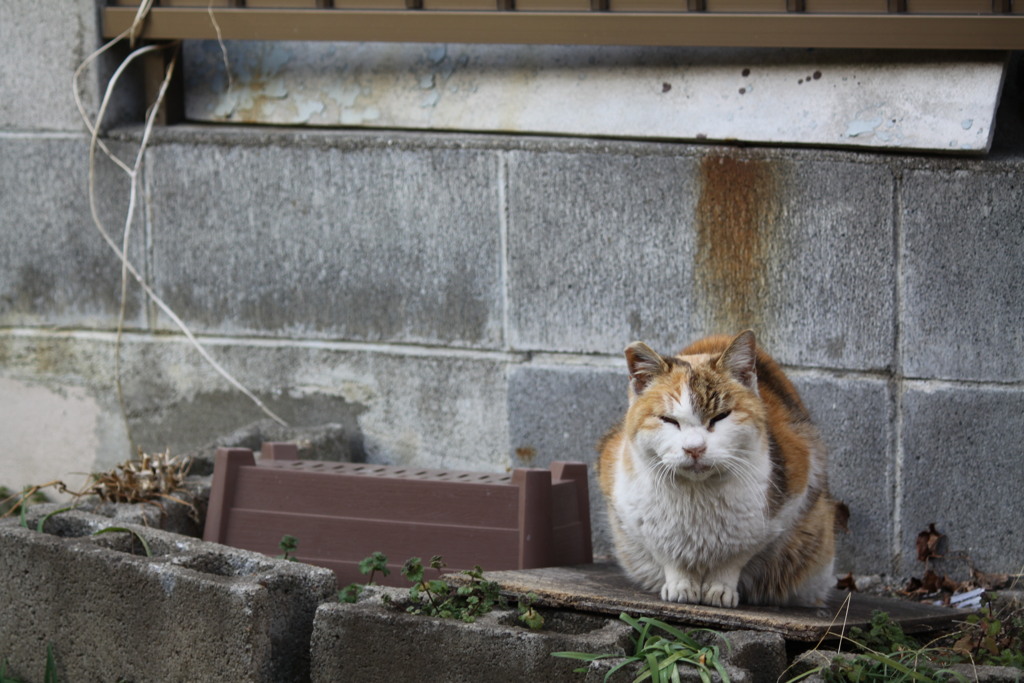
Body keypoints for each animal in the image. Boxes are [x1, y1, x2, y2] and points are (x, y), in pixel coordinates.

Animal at [598, 331, 831, 610]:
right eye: (669, 420)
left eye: (720, 417)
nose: (694, 448)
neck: (696, 496)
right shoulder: (633, 514)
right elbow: (668, 554)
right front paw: (681, 586)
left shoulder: (791, 494)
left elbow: (733, 560)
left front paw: (720, 590)